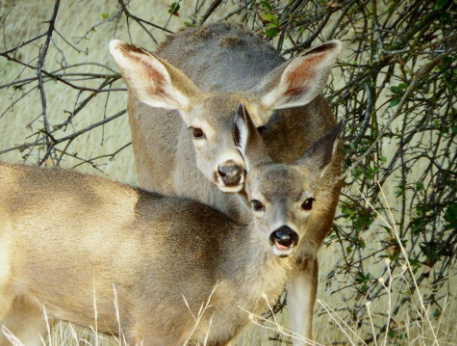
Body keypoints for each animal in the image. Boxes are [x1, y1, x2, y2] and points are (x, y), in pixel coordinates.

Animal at [0, 111, 342, 346]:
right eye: (257, 202)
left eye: (308, 201)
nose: (284, 235)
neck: (219, 270)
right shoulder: (154, 325)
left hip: (30, 315)